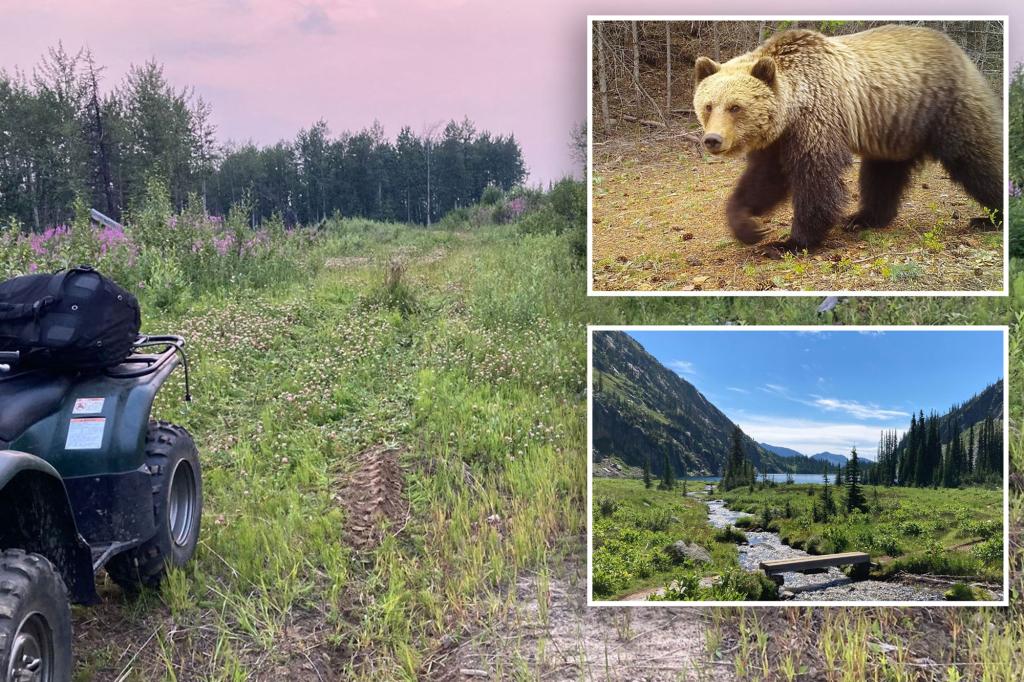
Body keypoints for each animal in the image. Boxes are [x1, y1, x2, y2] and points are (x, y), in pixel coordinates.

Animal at [692, 25, 1003, 254]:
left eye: (735, 107)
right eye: (708, 105)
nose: (713, 140)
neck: (793, 107)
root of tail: (960, 52)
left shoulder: (817, 118)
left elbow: (815, 179)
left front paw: (791, 242)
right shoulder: (779, 139)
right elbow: (764, 179)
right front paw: (749, 227)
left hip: (945, 106)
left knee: (977, 159)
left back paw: (990, 217)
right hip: (894, 127)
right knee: (882, 174)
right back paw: (863, 218)